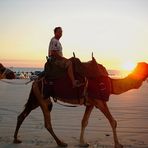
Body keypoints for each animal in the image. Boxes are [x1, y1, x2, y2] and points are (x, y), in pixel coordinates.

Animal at [13, 57, 148, 147]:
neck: (111, 83)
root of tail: (35, 80)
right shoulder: (100, 101)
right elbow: (113, 121)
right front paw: (118, 144)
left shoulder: (91, 102)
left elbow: (84, 121)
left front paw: (82, 142)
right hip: (41, 97)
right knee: (47, 122)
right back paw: (61, 142)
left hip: (37, 98)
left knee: (23, 115)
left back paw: (16, 139)